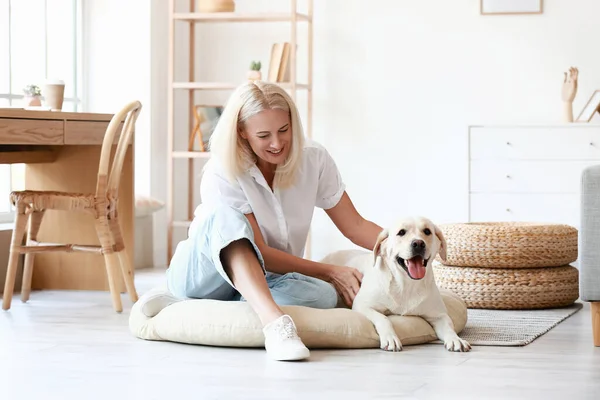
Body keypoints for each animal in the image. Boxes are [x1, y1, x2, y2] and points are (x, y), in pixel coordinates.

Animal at [322, 217, 472, 352]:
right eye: (401, 232)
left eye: (427, 231)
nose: (418, 243)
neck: (406, 285)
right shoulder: (362, 306)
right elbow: (383, 318)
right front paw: (390, 338)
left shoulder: (439, 315)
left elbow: (449, 326)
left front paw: (456, 339)